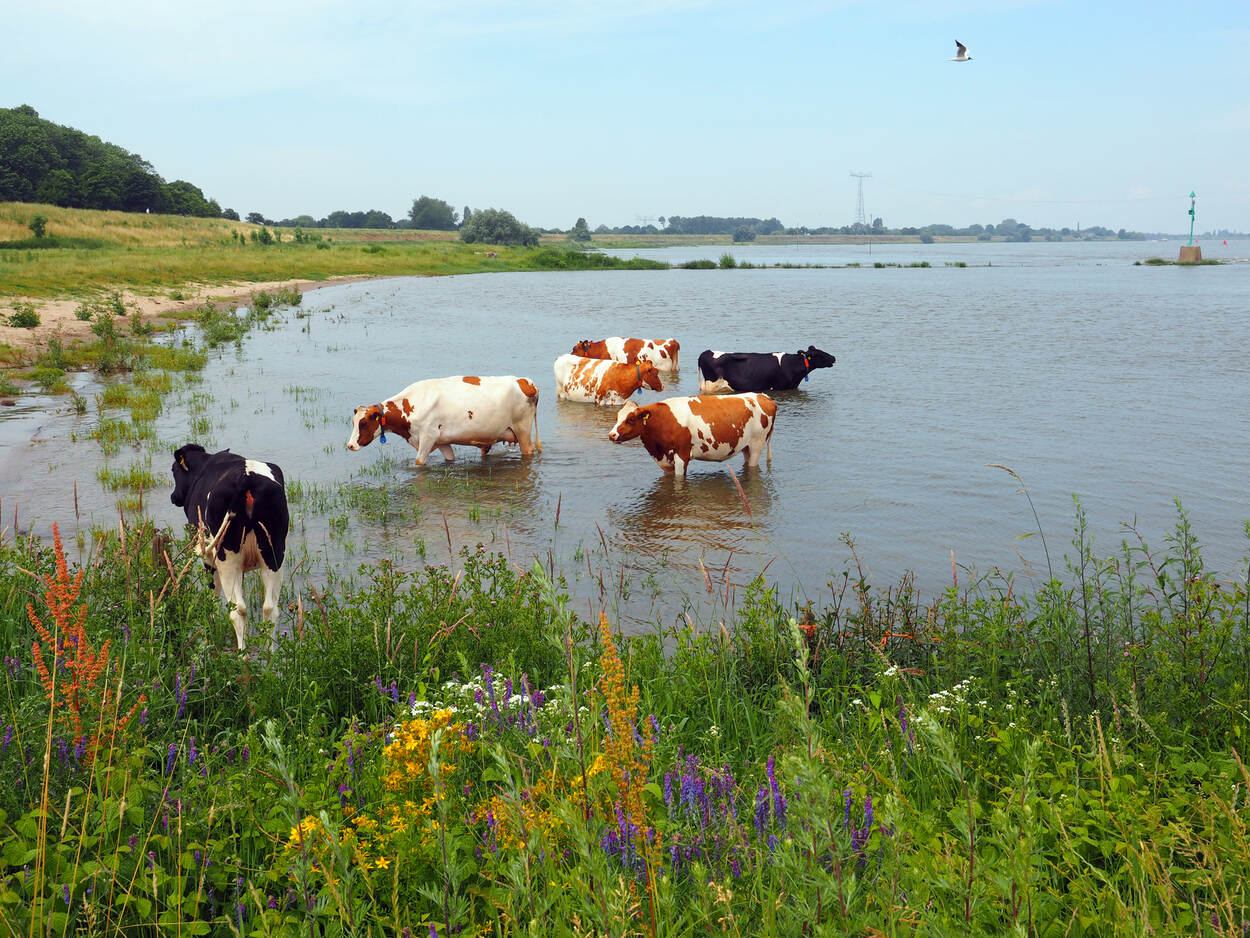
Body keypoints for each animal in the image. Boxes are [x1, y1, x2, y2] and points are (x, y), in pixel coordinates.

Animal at [170, 445, 288, 650]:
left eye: (173, 470)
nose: (173, 496)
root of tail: (247, 478)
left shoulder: (209, 559)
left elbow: (212, 594)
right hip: (274, 554)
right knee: (270, 608)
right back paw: (270, 654)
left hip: (227, 558)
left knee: (238, 609)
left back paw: (242, 654)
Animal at [345, 372, 540, 465]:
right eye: (353, 422)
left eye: (363, 423)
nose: (350, 445)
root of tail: (524, 381)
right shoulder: (442, 441)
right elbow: (449, 459)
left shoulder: (428, 437)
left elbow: (419, 462)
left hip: (523, 430)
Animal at [610, 392, 775, 477]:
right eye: (617, 417)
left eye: (631, 419)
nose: (612, 435)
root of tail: (764, 397)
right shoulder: (666, 460)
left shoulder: (681, 456)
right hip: (746, 447)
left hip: (757, 445)